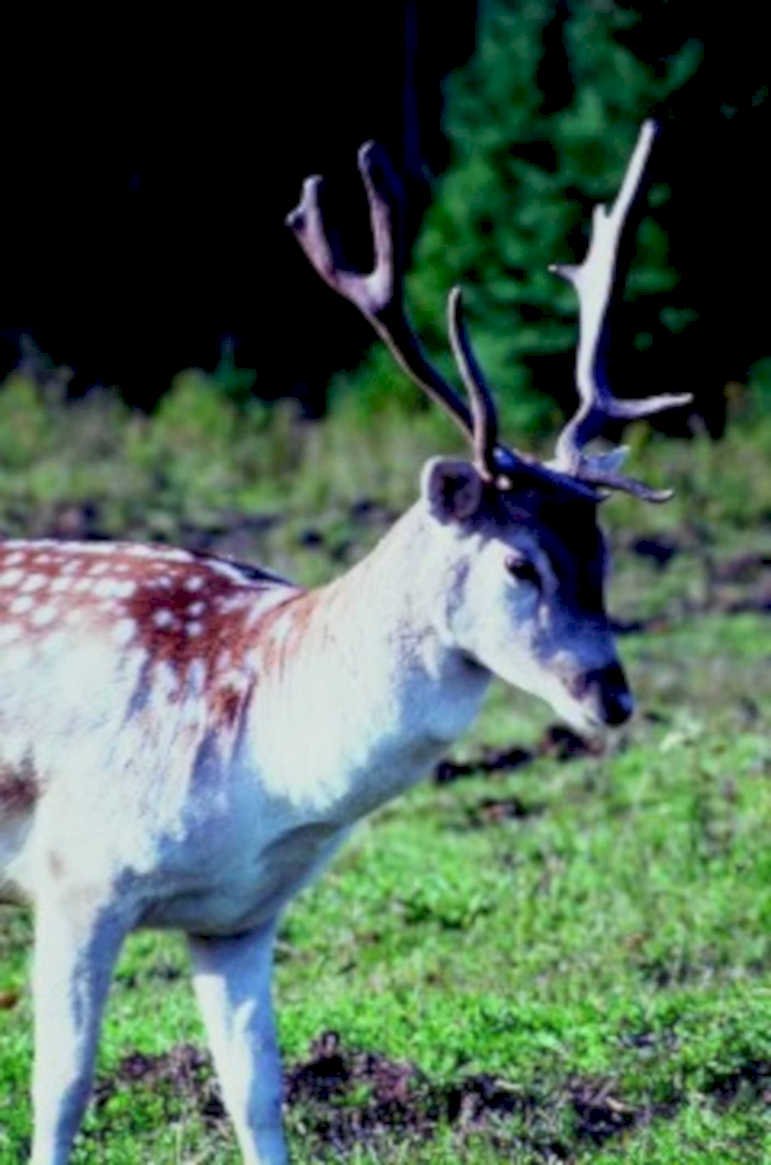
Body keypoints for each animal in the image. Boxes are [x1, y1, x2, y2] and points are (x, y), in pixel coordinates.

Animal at [0, 121, 690, 1164]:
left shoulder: (241, 916)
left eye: (602, 551)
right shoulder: (78, 873)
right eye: (518, 562)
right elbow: (62, 1089)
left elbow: (257, 1094)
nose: (607, 695)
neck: (262, 769)